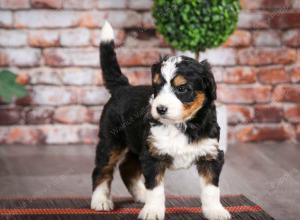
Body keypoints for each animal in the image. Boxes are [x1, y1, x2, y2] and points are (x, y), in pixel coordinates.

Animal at [90, 21, 231, 220]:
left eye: (182, 89)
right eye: (156, 87)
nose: (160, 109)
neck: (181, 124)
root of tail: (123, 87)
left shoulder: (210, 154)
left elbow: (211, 188)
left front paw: (216, 211)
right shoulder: (153, 156)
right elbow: (156, 188)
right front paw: (152, 211)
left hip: (137, 144)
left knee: (127, 168)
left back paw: (141, 195)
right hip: (111, 140)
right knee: (103, 169)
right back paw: (101, 201)